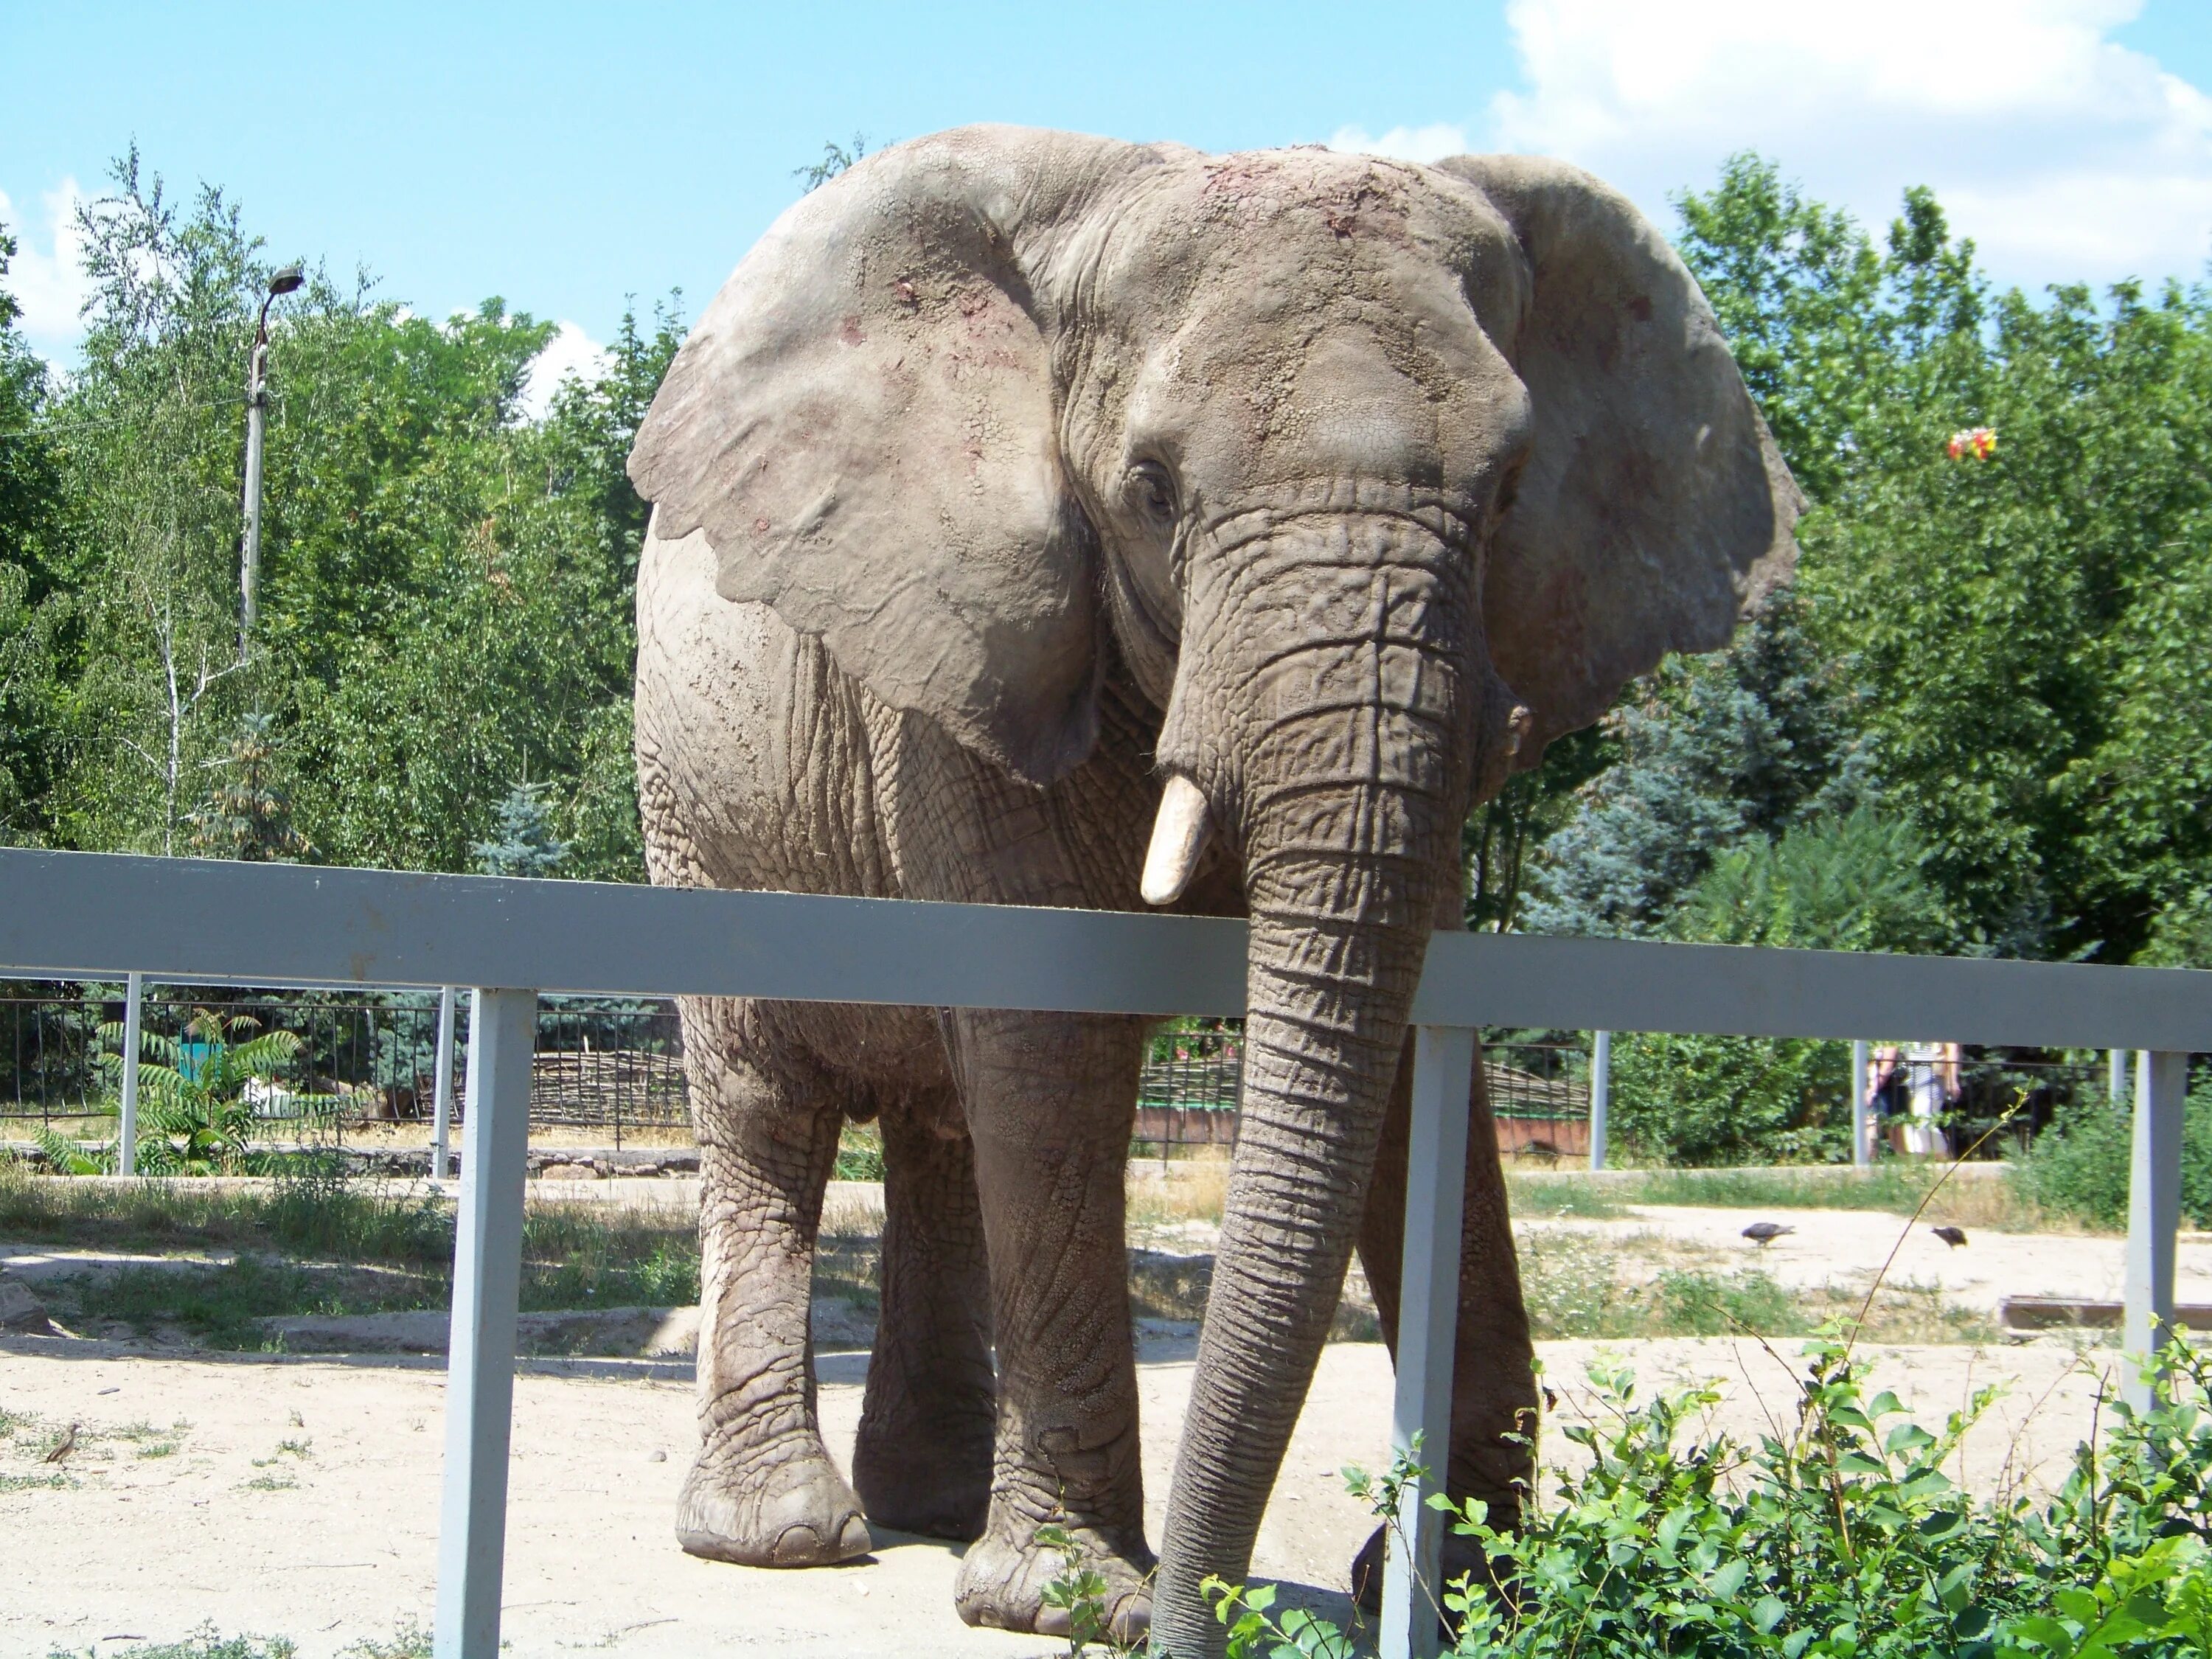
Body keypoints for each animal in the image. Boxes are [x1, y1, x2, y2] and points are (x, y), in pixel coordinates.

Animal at [628, 123, 1796, 1655]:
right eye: (1150, 490)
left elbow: (1400, 1058)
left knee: (944, 1119)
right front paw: (1076, 1606)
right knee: (770, 1098)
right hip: (696, 804)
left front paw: (1474, 1593)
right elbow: (1055, 1041)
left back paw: (929, 1507)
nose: (1219, 1614)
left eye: (1505, 491)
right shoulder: (969, 652)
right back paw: (785, 1539)